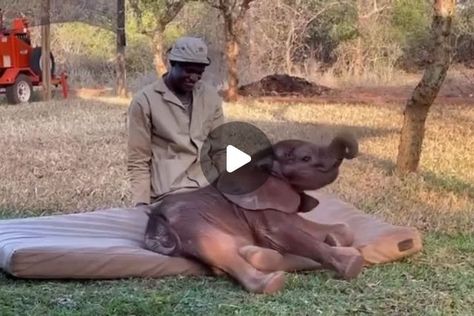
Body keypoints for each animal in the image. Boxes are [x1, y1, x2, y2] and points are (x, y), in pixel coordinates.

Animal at [144, 133, 362, 294]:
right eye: (306, 158)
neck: (262, 159)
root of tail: (155, 221)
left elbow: (316, 227)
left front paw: (336, 240)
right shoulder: (258, 210)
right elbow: (281, 234)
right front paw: (351, 263)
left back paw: (257, 255)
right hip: (191, 224)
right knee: (221, 250)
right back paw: (271, 280)